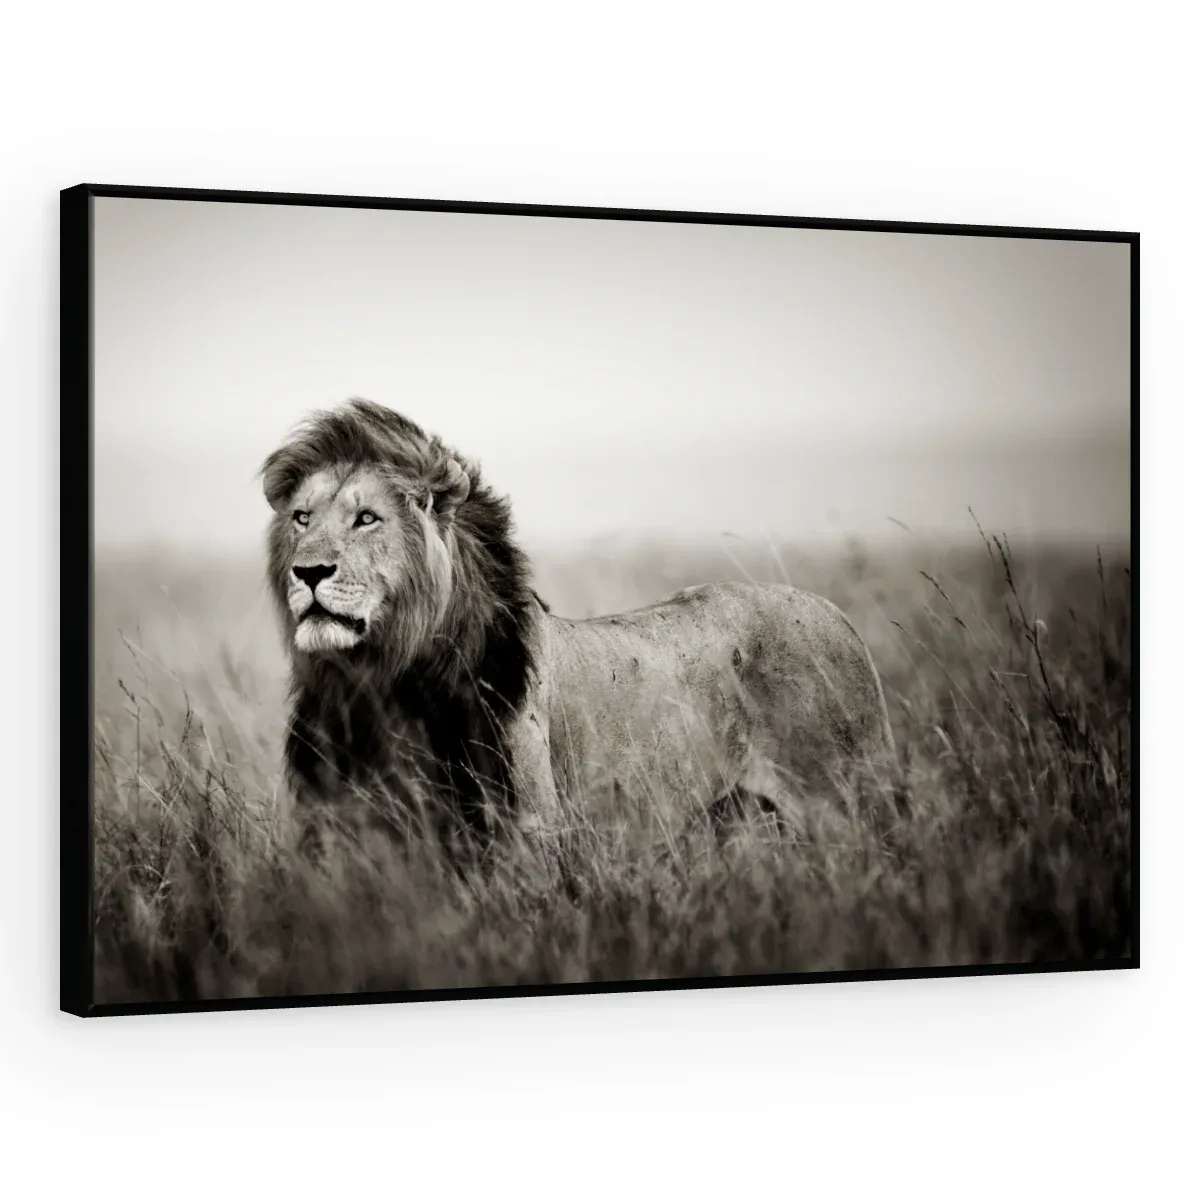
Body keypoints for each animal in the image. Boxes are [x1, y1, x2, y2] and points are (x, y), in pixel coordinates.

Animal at [261, 399, 897, 853]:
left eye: (367, 519)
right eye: (302, 518)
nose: (308, 571)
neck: (379, 682)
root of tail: (839, 616)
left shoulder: (526, 835)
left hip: (847, 804)